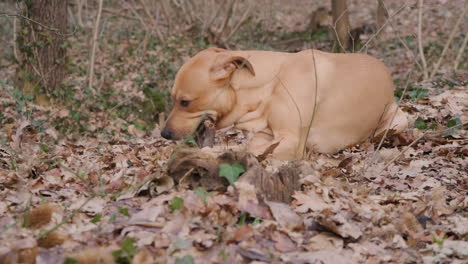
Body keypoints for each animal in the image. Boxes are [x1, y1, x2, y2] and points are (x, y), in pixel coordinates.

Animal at [160, 47, 406, 159]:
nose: (164, 134)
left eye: (184, 102)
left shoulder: (291, 140)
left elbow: (245, 150)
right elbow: (245, 146)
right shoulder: (264, 135)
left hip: (400, 117)